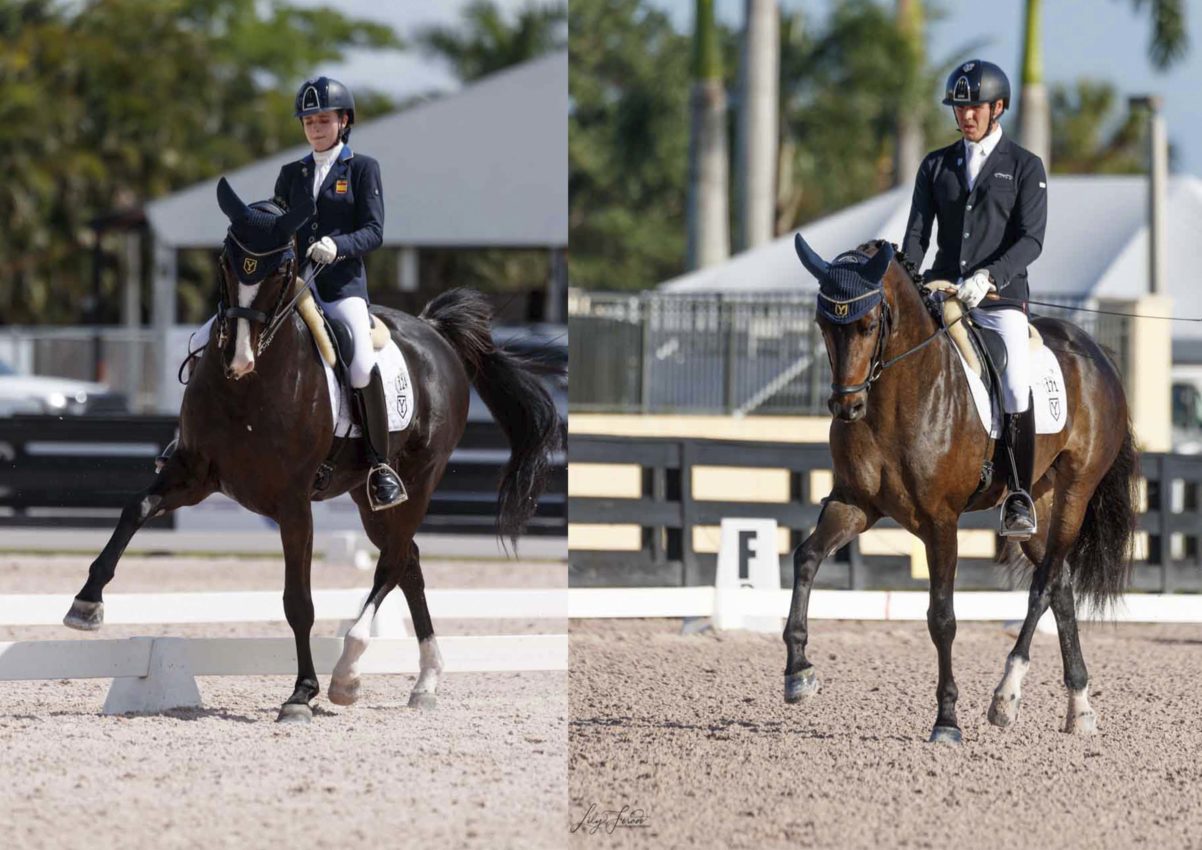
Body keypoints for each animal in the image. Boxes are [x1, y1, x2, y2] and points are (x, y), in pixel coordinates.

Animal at [61, 179, 557, 726]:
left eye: (282, 268)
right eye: (226, 261)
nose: (238, 358)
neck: (248, 390)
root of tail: (434, 331)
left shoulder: (293, 503)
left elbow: (298, 600)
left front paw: (301, 693)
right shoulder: (193, 474)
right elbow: (136, 508)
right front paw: (85, 605)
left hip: (418, 477)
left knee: (393, 560)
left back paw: (347, 674)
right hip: (368, 496)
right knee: (407, 560)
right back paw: (424, 681)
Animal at [788, 234, 1134, 745]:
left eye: (868, 324)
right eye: (823, 324)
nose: (846, 407)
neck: (895, 396)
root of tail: (1097, 353)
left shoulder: (940, 522)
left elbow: (942, 617)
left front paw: (947, 720)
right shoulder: (854, 504)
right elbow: (807, 558)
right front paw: (799, 672)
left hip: (1076, 489)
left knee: (1042, 586)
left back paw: (1006, 696)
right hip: (1037, 501)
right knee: (1061, 585)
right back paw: (1080, 708)